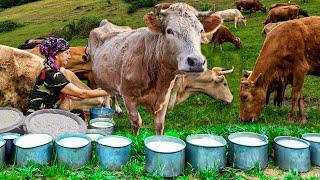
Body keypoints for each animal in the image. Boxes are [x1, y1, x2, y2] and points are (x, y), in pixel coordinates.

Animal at [87, 2, 222, 135]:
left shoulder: (164, 98)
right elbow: (136, 123)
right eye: (169, 31)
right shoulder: (128, 97)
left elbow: (159, 125)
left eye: (201, 30)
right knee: (106, 93)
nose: (197, 62)